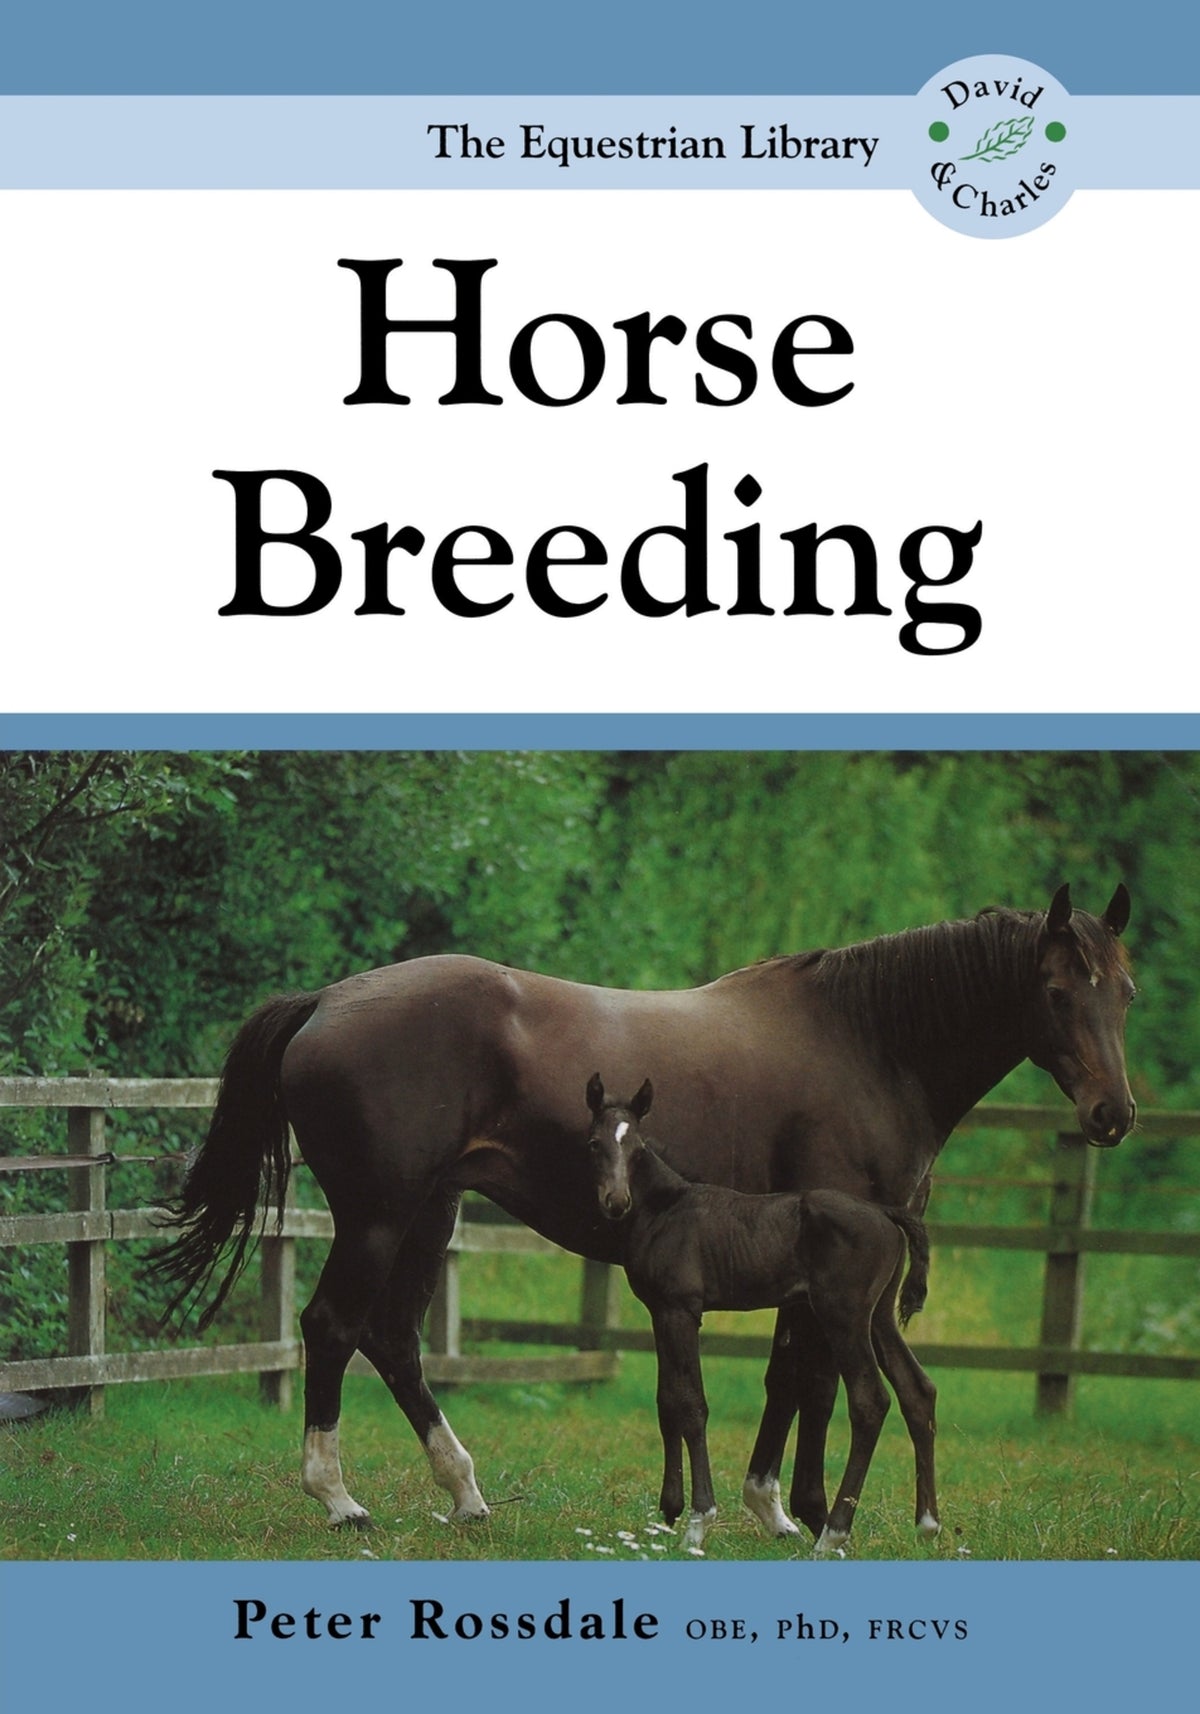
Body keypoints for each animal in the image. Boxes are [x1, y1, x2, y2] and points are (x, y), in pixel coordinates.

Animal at [583, 1074, 935, 1554]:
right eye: (594, 1143)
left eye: (637, 1148)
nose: (615, 1201)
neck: (667, 1208)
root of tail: (885, 1211)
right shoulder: (659, 1311)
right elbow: (668, 1400)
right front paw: (669, 1513)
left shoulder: (682, 1310)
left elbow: (692, 1404)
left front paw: (698, 1522)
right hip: (877, 1316)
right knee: (918, 1390)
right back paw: (928, 1524)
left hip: (843, 1316)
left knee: (871, 1401)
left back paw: (832, 1535)